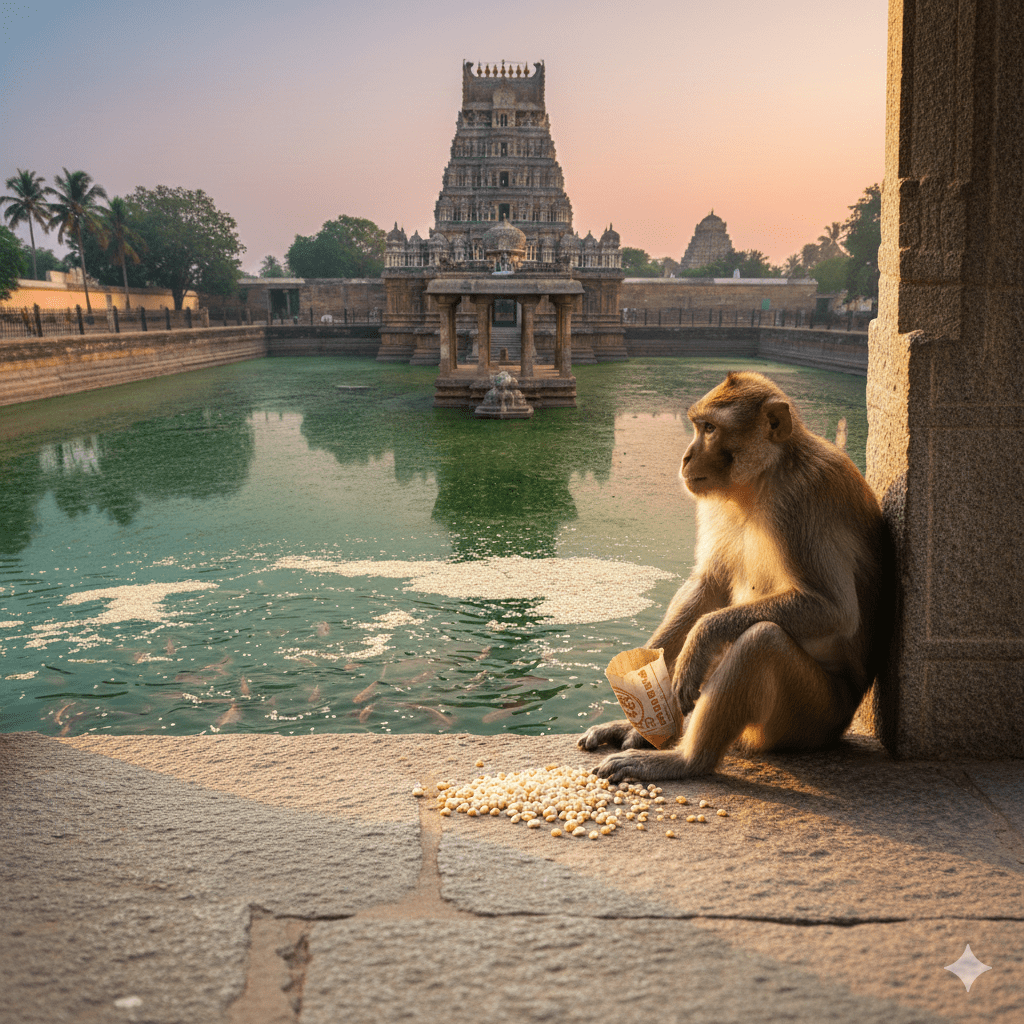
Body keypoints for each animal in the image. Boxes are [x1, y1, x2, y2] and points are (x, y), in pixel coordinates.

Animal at [579, 371, 892, 782]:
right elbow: (709, 585)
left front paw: (699, 640)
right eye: (698, 426)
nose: (686, 457)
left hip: (811, 719)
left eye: (710, 429)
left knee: (761, 641)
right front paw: (644, 665)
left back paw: (686, 760)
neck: (763, 478)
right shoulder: (715, 499)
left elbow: (834, 609)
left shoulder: (803, 498)